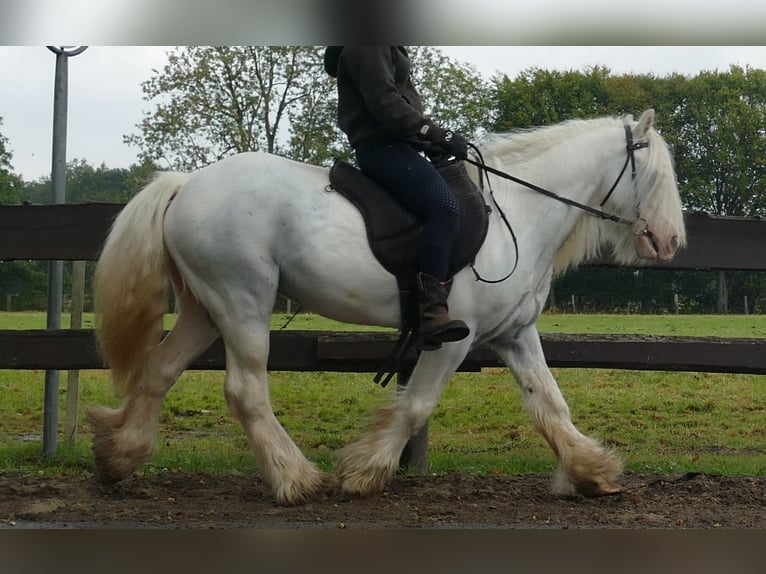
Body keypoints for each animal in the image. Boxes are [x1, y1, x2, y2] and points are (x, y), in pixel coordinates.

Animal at [91, 110, 688, 506]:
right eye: (658, 175)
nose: (671, 243)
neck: (517, 211)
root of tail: (187, 183)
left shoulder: (514, 334)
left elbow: (550, 404)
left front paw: (591, 471)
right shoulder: (455, 340)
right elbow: (417, 405)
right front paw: (365, 471)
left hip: (204, 305)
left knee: (160, 370)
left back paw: (120, 457)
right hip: (242, 299)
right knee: (245, 390)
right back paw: (296, 480)